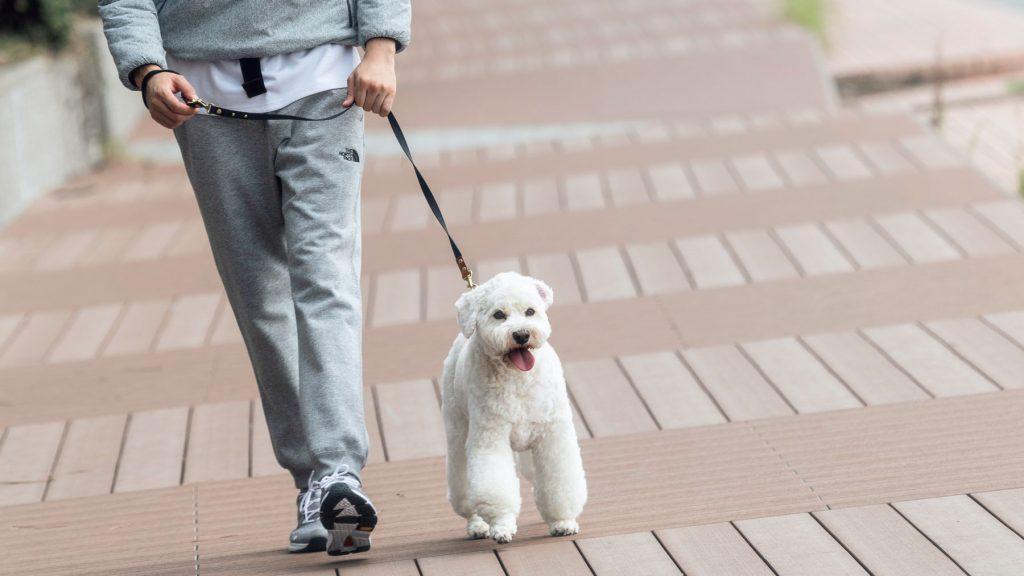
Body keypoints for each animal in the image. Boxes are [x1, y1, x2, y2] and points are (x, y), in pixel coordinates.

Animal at [438, 270, 585, 541]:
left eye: (530, 311)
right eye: (499, 315)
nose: (521, 335)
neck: (519, 378)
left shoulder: (552, 435)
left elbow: (560, 481)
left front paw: (563, 521)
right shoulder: (490, 438)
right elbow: (495, 487)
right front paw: (502, 526)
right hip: (458, 433)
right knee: (465, 489)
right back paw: (477, 526)